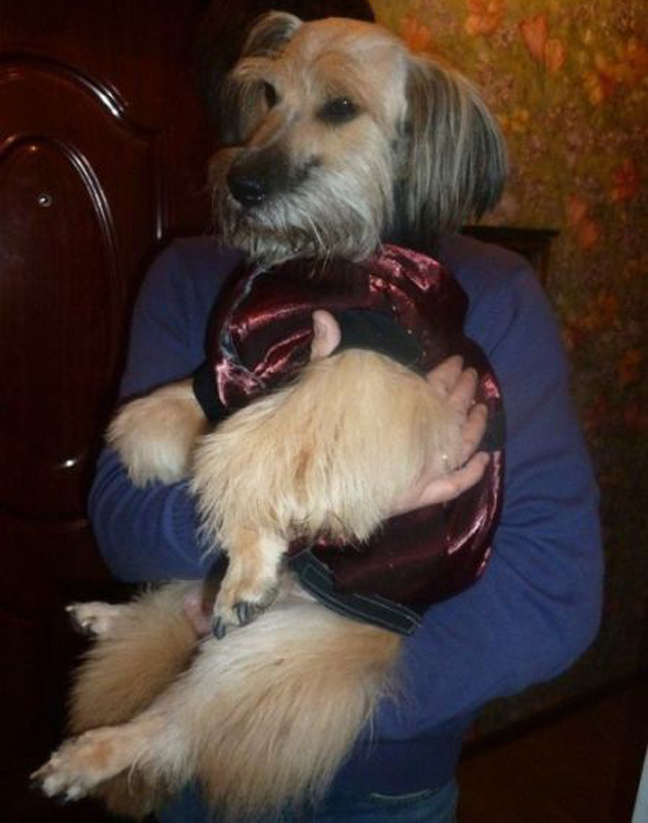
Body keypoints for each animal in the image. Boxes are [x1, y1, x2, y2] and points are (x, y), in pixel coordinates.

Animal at [33, 13, 506, 821]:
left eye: (342, 108)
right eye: (268, 94)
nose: (241, 184)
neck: (321, 255)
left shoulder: (366, 377)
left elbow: (257, 457)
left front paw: (249, 565)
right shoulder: (234, 365)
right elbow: (176, 420)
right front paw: (153, 449)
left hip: (263, 656)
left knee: (172, 723)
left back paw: (92, 752)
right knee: (174, 605)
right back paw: (104, 615)